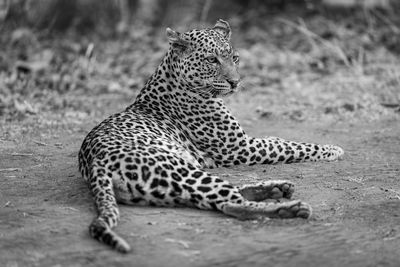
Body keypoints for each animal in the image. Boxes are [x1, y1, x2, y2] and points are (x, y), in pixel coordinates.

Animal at [78, 19, 344, 254]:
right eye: (211, 60)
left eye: (234, 58)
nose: (235, 82)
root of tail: (95, 163)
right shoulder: (239, 148)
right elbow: (287, 145)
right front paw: (331, 149)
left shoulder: (242, 145)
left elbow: (279, 141)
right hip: (178, 170)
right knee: (231, 204)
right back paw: (289, 208)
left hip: (170, 186)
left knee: (222, 197)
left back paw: (278, 188)